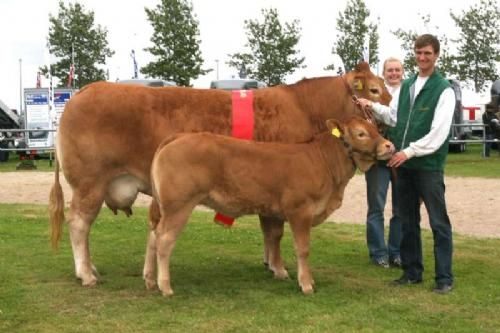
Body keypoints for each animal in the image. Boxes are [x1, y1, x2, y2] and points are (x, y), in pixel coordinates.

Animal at [150, 115, 392, 294]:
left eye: (375, 128)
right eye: (361, 133)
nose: (389, 146)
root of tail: (179, 136)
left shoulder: (275, 212)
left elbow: (274, 238)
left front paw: (280, 271)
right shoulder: (300, 211)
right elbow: (303, 248)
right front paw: (306, 284)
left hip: (165, 207)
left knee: (153, 234)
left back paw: (150, 280)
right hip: (179, 205)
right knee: (164, 239)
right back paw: (165, 286)